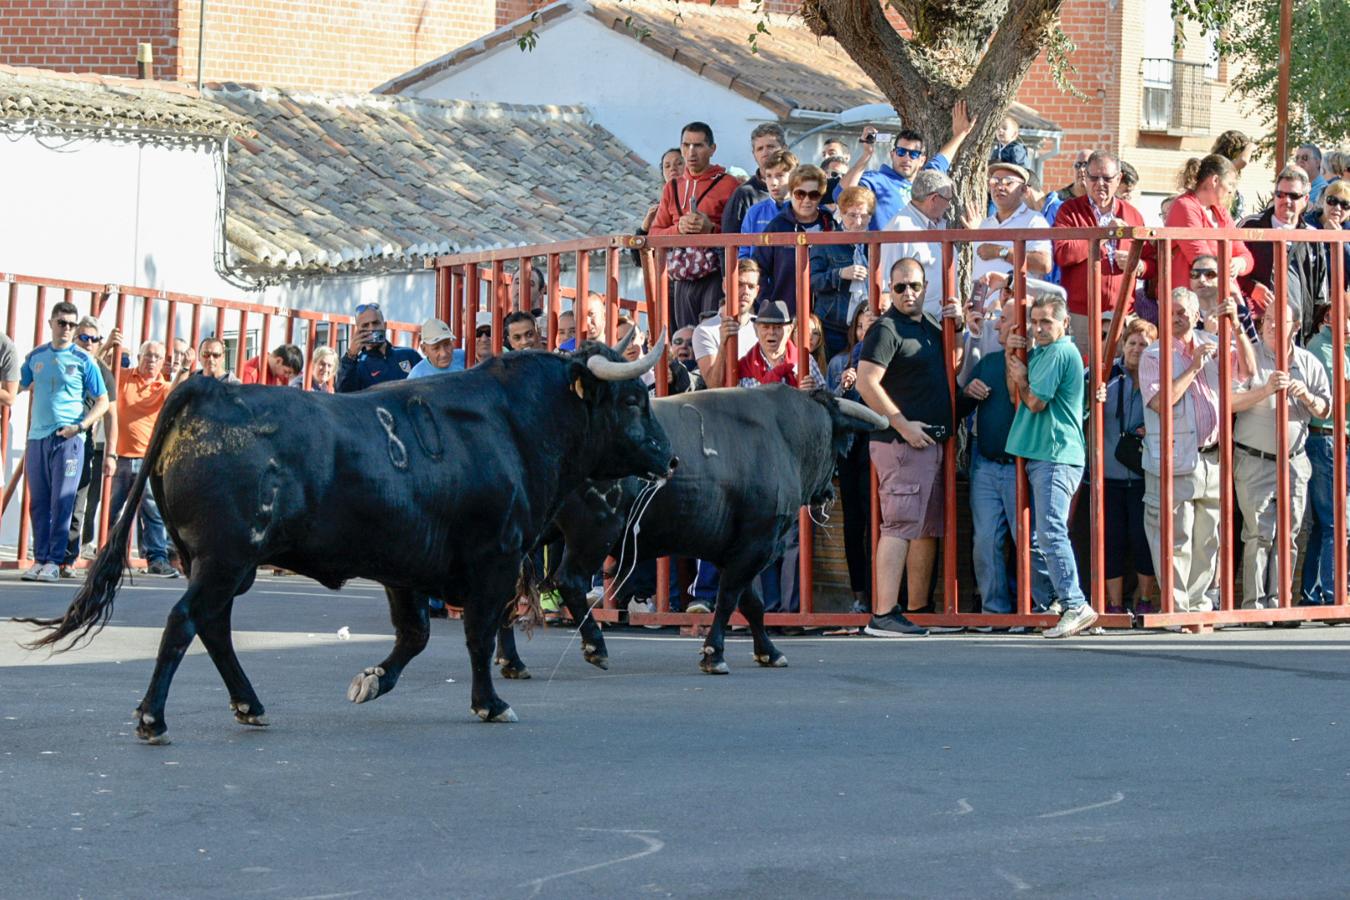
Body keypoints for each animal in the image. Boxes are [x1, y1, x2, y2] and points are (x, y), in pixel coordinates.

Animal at [18, 341, 672, 744]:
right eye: (633, 400)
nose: (669, 457)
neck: (512, 425)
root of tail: (208, 388)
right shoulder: (495, 556)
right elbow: (478, 634)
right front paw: (490, 702)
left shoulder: (407, 568)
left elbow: (416, 635)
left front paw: (372, 680)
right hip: (225, 558)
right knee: (186, 621)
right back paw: (154, 717)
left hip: (219, 562)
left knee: (213, 626)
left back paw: (250, 705)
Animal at [494, 383, 885, 680]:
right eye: (842, 444)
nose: (829, 492)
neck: (783, 435)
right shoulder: (757, 543)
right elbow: (729, 599)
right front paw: (714, 654)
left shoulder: (738, 548)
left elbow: (752, 603)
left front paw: (769, 652)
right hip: (593, 531)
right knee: (570, 581)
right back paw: (595, 646)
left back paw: (511, 661)